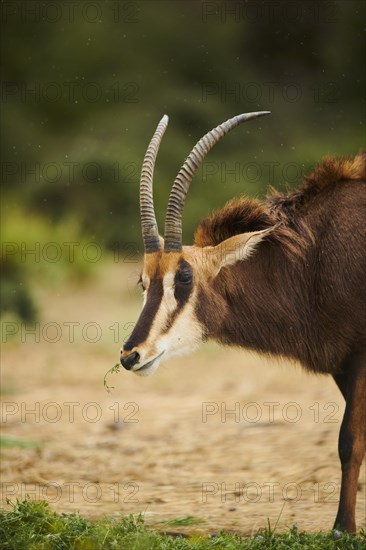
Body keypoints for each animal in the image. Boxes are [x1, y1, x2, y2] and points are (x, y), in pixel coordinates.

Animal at [118, 113, 364, 536]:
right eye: (143, 281)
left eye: (184, 278)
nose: (131, 355)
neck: (313, 256)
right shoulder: (342, 361)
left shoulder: (361, 354)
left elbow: (350, 439)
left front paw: (343, 528)